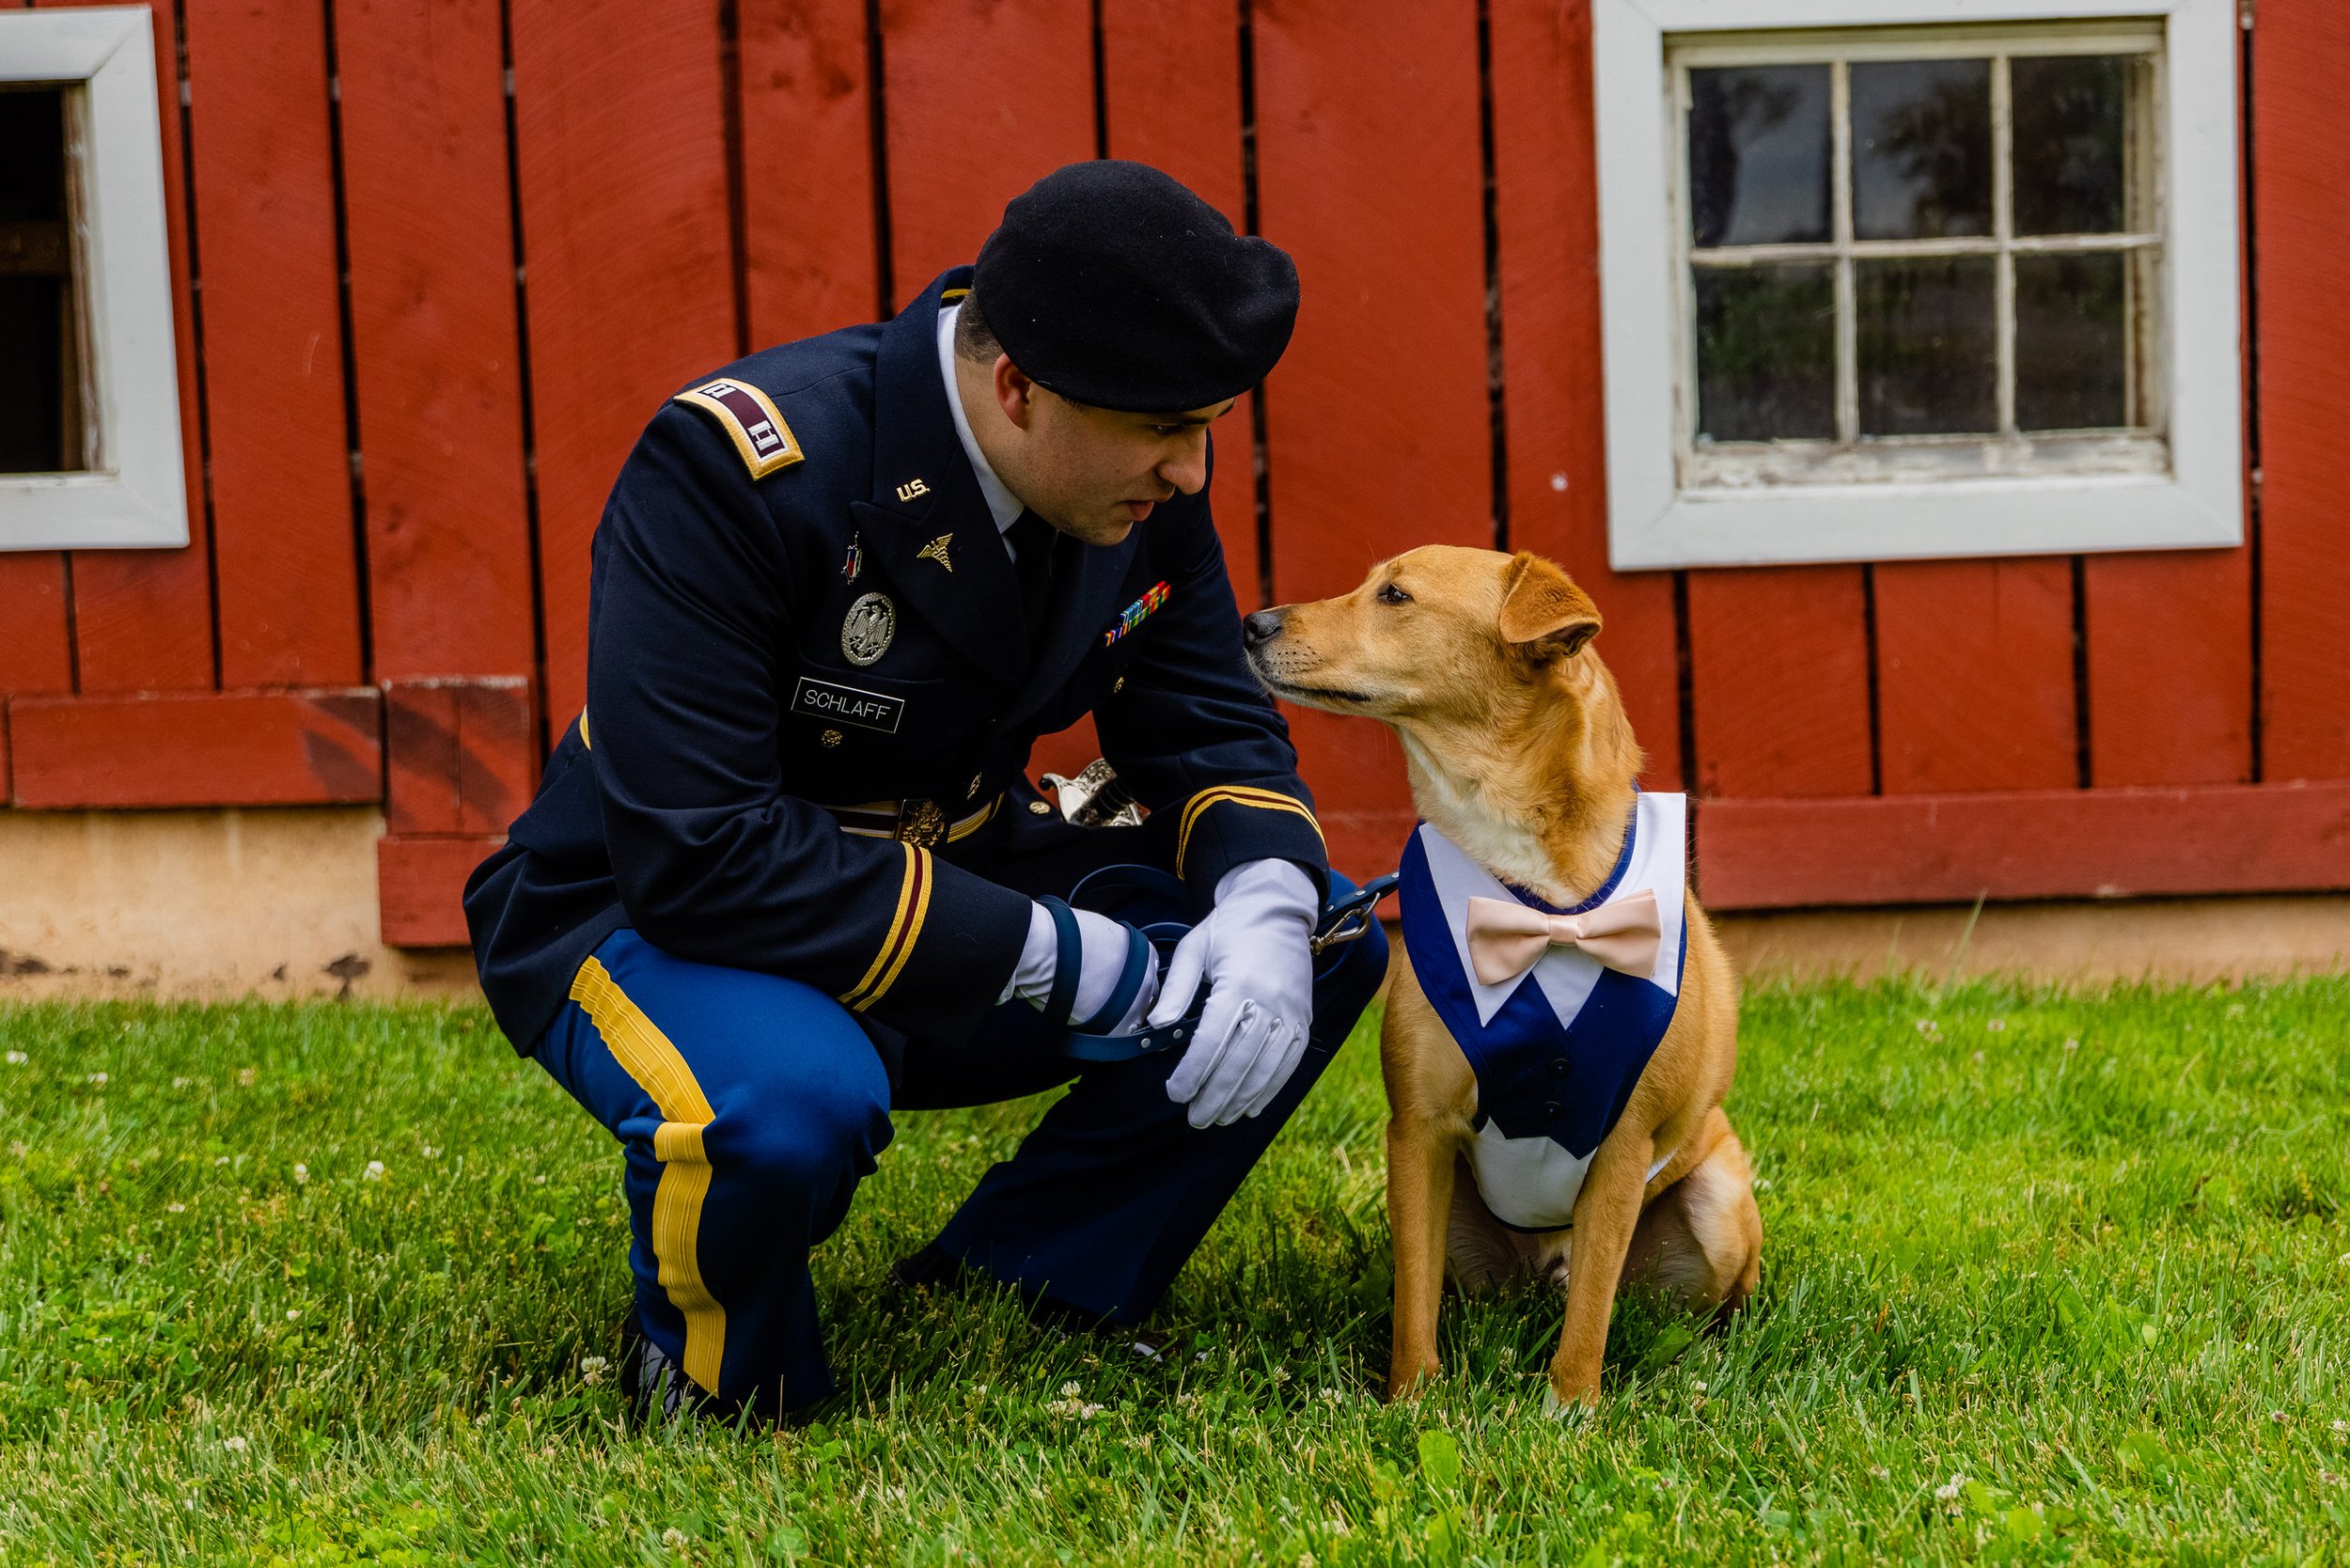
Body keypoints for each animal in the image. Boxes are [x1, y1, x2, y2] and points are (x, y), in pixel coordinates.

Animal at [1250, 550, 1767, 1410]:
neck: (1539, 899)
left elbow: (1590, 1315)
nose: (1252, 622)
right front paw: (1412, 1401)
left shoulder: (1623, 1147)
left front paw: (1570, 1409)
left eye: (1395, 595)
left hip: (1717, 1205)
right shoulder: (1418, 1135)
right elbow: (1413, 1300)